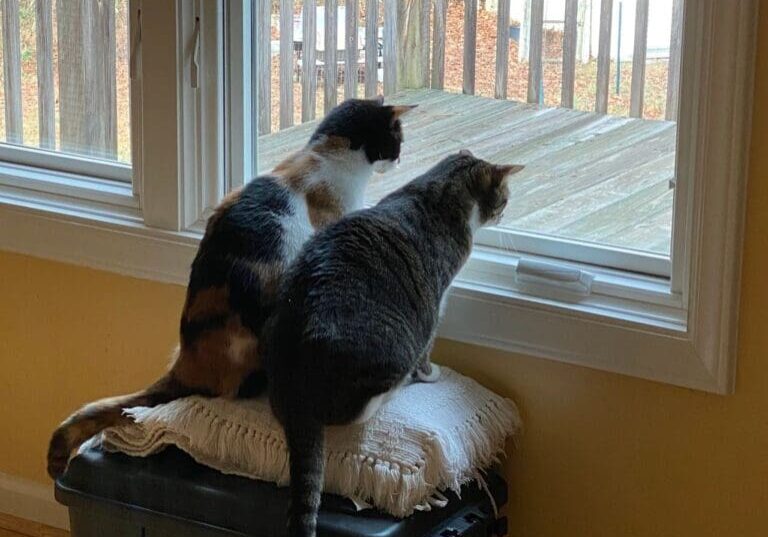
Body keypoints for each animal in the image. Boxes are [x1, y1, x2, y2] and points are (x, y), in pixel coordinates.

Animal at [262, 150, 520, 536]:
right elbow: (429, 347)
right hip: (393, 349)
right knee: (355, 411)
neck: (439, 191)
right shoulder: (435, 302)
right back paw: (396, 389)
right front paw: (430, 374)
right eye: (503, 197)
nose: (504, 210)